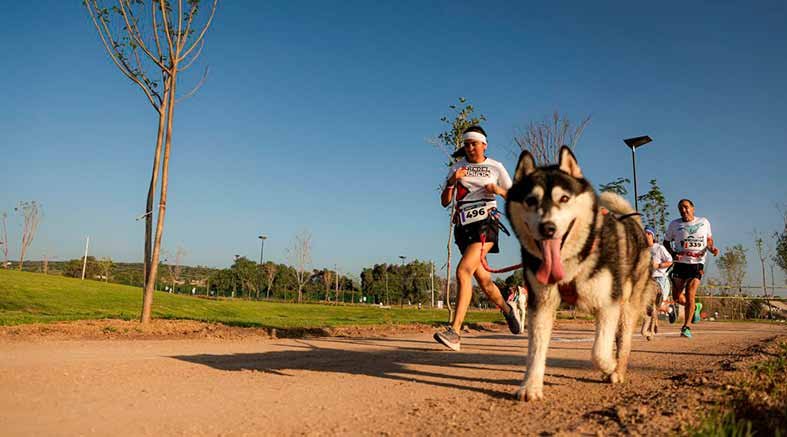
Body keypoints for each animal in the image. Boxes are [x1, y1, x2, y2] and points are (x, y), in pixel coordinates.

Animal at [504, 147, 652, 402]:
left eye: (564, 198)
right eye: (530, 200)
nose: (548, 228)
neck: (573, 261)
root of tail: (636, 226)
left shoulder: (609, 304)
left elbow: (598, 351)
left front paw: (610, 366)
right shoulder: (541, 303)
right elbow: (535, 351)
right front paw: (531, 386)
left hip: (627, 304)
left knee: (623, 341)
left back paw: (619, 369)